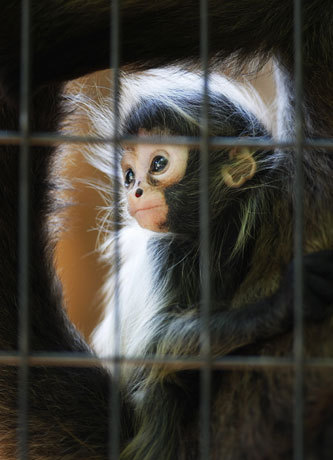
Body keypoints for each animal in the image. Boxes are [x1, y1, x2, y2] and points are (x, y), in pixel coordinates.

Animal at [0, 0, 330, 460]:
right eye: (128, 175)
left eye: (157, 164)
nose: (135, 190)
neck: (213, 235)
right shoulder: (167, 253)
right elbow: (157, 351)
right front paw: (282, 303)